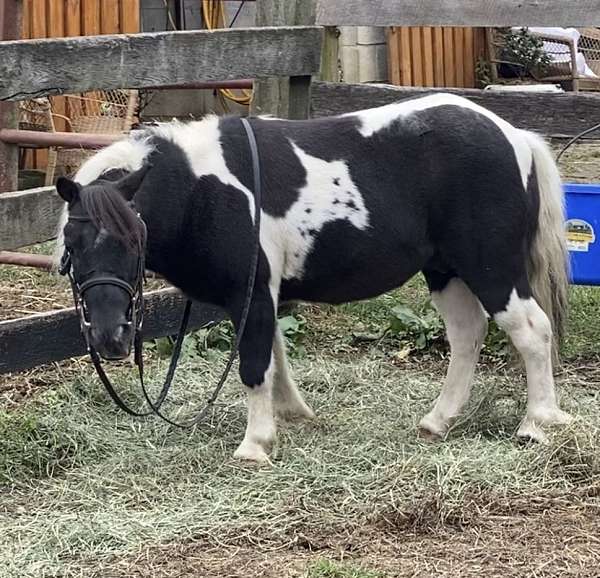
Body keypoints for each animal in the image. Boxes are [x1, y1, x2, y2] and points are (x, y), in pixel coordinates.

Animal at [56, 95, 572, 464]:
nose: (109, 336)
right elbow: (274, 354)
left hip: (492, 269)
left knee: (531, 331)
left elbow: (254, 365)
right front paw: (290, 415)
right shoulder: (261, 296)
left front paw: (255, 444)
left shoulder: (252, 293)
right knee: (467, 335)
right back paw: (438, 421)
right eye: (72, 243)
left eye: (134, 238)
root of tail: (515, 136)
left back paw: (537, 424)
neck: (204, 189)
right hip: (445, 271)